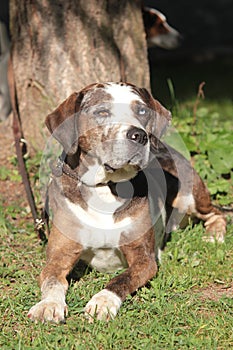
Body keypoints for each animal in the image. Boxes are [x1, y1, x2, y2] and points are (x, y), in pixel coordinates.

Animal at [27, 81, 226, 322]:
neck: (105, 188)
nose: (139, 135)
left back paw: (214, 236)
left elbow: (120, 279)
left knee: (217, 213)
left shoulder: (144, 259)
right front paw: (48, 304)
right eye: (102, 112)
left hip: (190, 196)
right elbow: (52, 280)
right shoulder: (58, 256)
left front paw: (103, 301)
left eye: (142, 111)